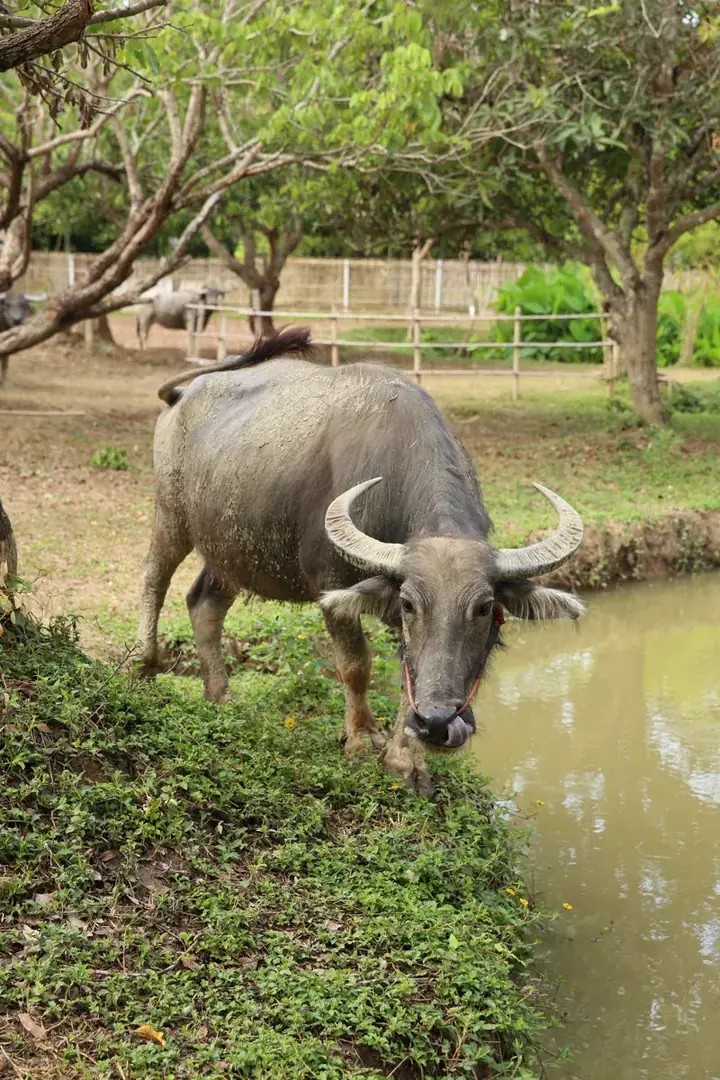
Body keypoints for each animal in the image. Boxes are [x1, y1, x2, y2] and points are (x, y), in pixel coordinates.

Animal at [137, 328, 584, 794]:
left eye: (485, 609)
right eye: (409, 604)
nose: (438, 724)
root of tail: (182, 396)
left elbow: (407, 673)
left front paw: (405, 760)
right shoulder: (331, 585)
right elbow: (355, 666)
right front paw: (360, 739)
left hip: (231, 551)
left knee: (203, 604)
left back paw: (220, 695)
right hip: (171, 515)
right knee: (155, 576)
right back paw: (144, 663)